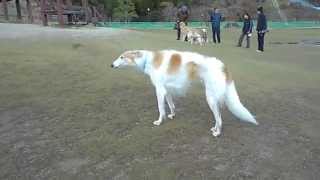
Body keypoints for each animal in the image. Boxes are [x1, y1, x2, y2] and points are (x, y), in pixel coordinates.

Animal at [110, 49, 258, 136]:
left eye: (122, 57)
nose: (111, 65)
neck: (148, 60)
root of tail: (223, 65)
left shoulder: (159, 90)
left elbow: (161, 109)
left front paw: (159, 121)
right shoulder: (167, 90)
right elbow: (171, 106)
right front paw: (172, 115)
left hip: (210, 98)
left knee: (219, 118)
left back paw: (217, 132)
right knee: (218, 117)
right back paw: (214, 129)